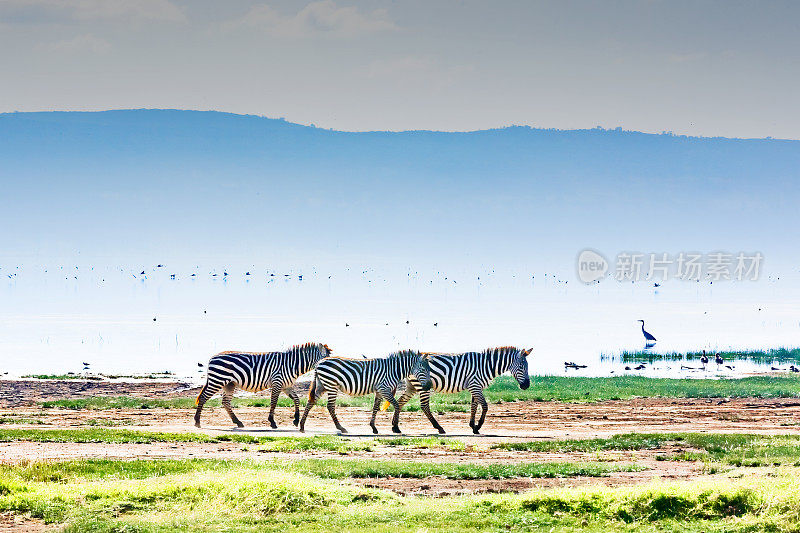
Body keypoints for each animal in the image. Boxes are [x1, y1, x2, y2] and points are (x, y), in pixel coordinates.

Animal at [194, 340, 332, 428]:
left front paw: (296, 420)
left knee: (225, 402)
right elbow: (274, 402)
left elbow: (297, 399)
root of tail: (212, 357)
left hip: (229, 384)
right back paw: (197, 422)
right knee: (204, 397)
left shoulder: (286, 386)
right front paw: (272, 422)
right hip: (217, 380)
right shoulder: (277, 382)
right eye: (326, 359)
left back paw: (238, 422)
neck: (292, 364)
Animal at [296, 352, 432, 434]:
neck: (394, 370)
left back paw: (302, 426)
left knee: (311, 402)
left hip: (322, 385)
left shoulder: (379, 391)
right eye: (423, 369)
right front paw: (395, 428)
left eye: (429, 369)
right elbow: (397, 405)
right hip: (331, 385)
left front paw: (373, 427)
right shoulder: (384, 389)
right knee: (330, 406)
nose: (429, 386)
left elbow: (375, 408)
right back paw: (341, 428)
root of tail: (319, 363)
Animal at [394, 348, 532, 434]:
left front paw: (472, 425)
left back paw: (395, 427)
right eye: (522, 367)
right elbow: (485, 406)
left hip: (411, 386)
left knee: (400, 402)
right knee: (424, 406)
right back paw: (439, 428)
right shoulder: (475, 385)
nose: (526, 385)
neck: (486, 366)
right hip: (422, 385)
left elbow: (474, 406)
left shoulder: (475, 386)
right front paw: (478, 426)